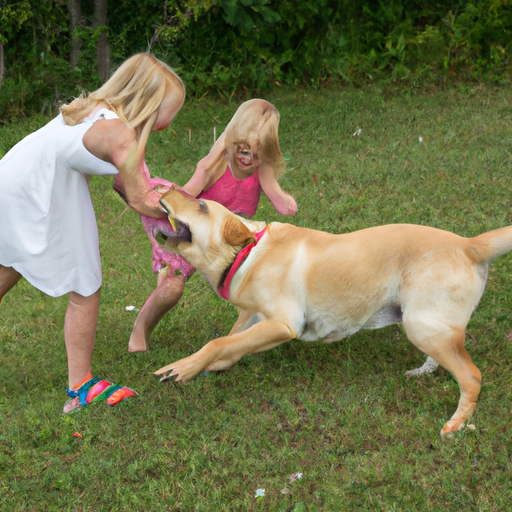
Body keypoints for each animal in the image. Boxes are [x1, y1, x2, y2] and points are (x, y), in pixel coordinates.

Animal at [154, 186, 512, 438]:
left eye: (201, 205)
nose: (163, 188)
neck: (247, 250)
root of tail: (470, 244)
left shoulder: (283, 324)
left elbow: (218, 343)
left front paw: (183, 367)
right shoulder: (254, 315)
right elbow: (231, 339)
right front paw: (213, 365)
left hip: (422, 325)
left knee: (471, 377)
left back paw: (456, 424)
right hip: (426, 324)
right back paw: (422, 373)